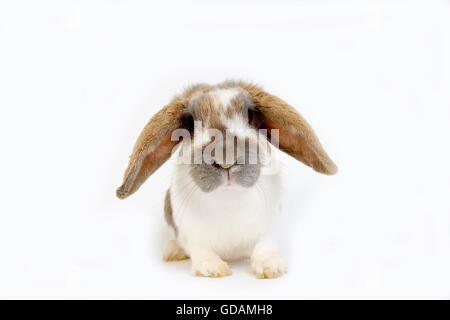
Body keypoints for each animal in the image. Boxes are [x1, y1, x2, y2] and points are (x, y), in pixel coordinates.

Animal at [117, 80, 338, 278]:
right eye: (190, 121)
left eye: (250, 114)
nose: (226, 159)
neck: (228, 197)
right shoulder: (192, 233)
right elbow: (200, 250)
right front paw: (212, 269)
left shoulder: (268, 228)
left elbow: (265, 246)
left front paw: (271, 267)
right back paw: (173, 251)